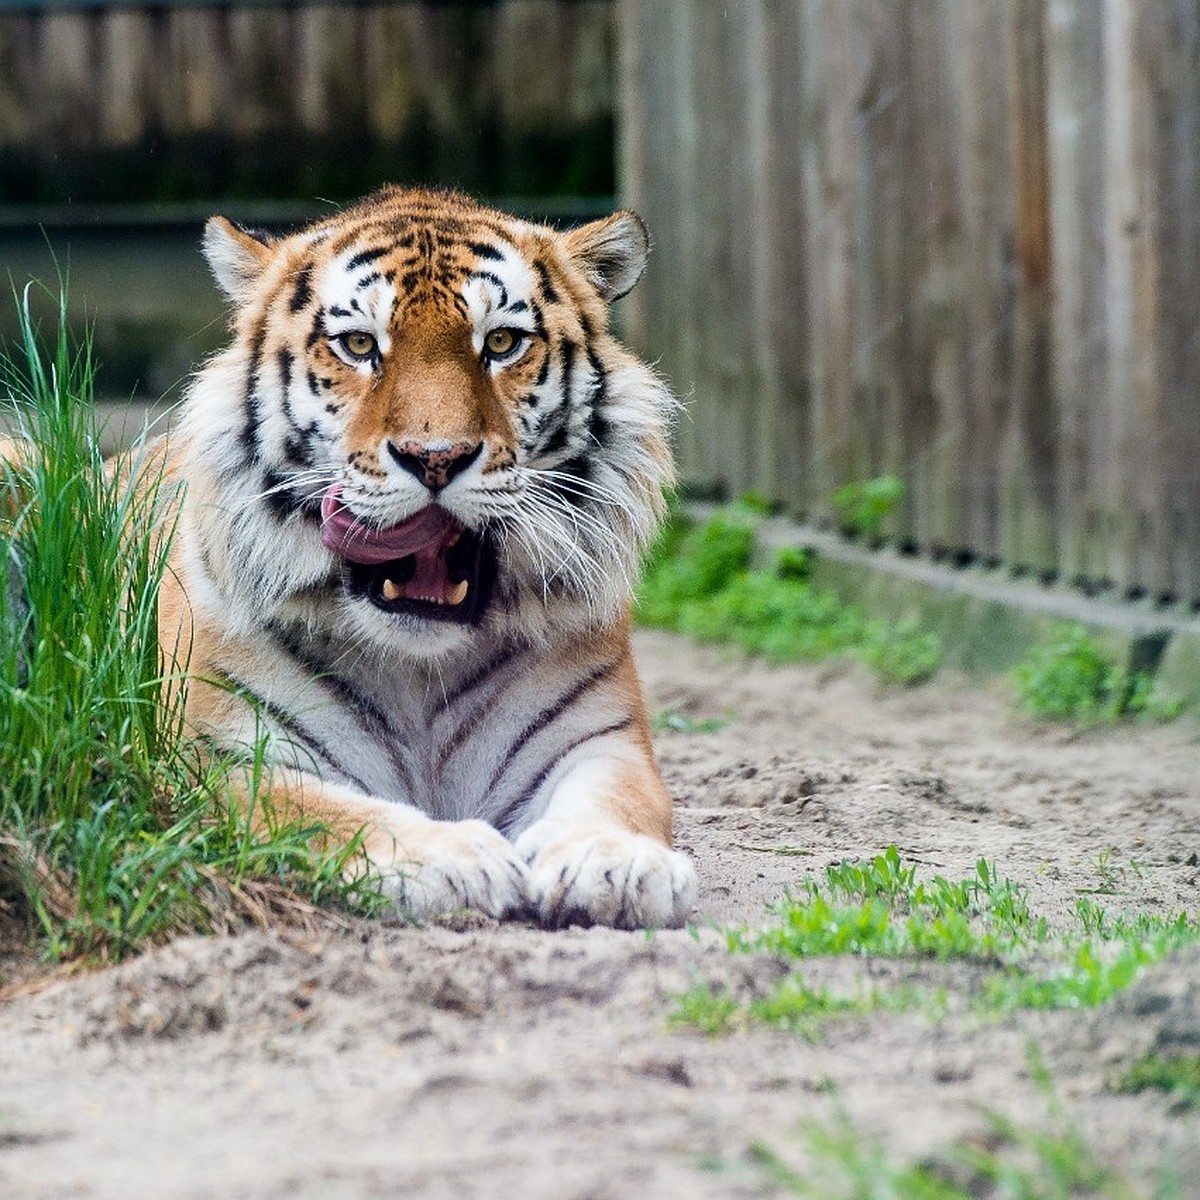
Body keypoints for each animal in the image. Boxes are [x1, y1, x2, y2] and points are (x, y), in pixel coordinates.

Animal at [152, 184, 696, 926]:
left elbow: (618, 801)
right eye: (358, 345)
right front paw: (451, 858)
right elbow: (322, 812)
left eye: (501, 342)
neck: (419, 671)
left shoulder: (599, 739)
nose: (435, 458)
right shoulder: (214, 758)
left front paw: (611, 863)